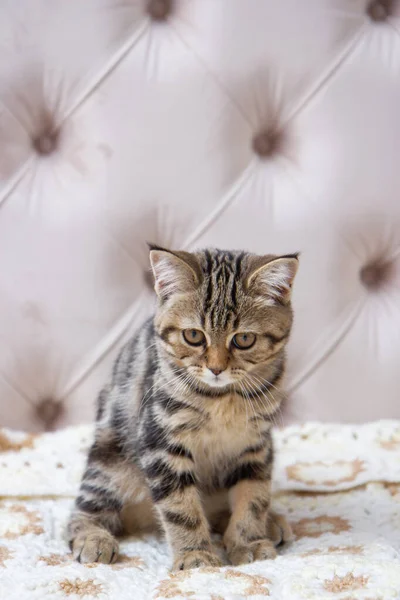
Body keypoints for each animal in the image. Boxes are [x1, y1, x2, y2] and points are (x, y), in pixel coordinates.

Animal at [68, 246, 296, 568]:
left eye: (244, 339)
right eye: (194, 336)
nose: (216, 368)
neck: (223, 398)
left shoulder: (256, 444)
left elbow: (254, 496)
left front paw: (247, 542)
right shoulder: (160, 439)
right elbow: (181, 507)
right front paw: (196, 555)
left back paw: (269, 522)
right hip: (111, 460)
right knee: (84, 510)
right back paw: (92, 537)